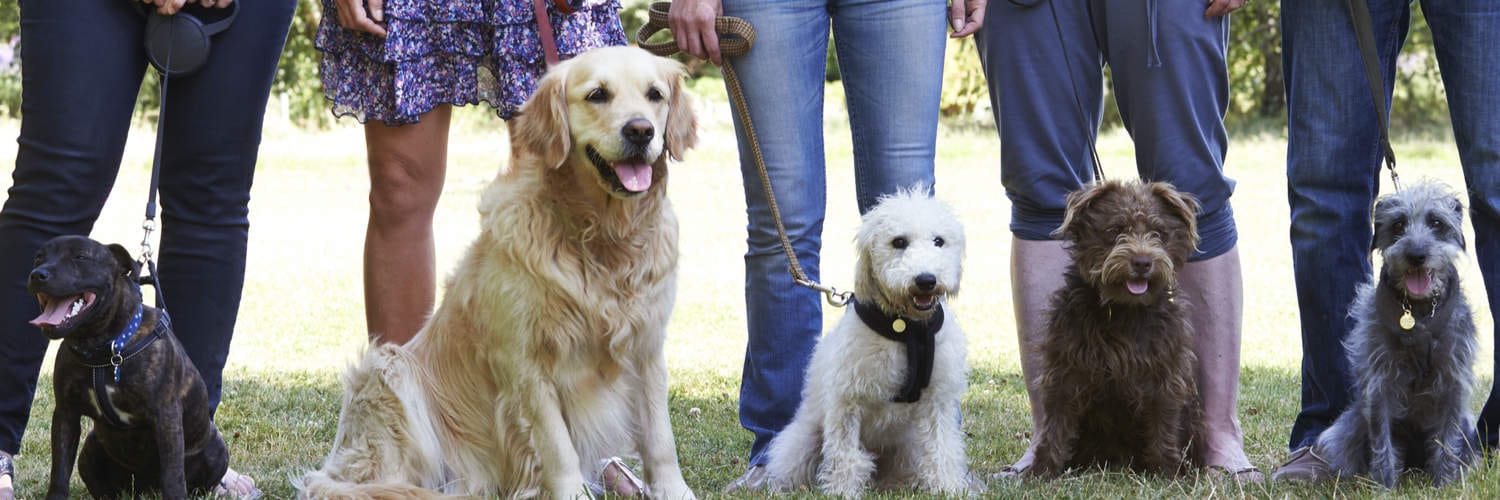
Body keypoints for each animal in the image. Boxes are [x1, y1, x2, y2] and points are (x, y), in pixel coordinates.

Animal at [29, 234, 229, 498]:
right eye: (38, 257)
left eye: (80, 257)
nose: (37, 274)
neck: (106, 350)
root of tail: (146, 488)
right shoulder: (65, 413)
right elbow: (60, 469)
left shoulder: (166, 419)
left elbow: (173, 475)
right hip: (89, 450)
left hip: (217, 449)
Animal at [762, 186, 972, 495]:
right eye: (899, 242)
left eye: (939, 241)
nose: (926, 280)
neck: (906, 330)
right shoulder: (847, 401)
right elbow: (845, 454)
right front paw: (842, 491)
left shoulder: (938, 400)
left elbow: (942, 447)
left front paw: (948, 487)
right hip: (802, 440)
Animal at [1032, 180, 1206, 480]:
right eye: (1115, 230)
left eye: (1159, 233)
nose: (1142, 262)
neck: (1124, 309)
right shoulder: (1066, 368)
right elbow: (1056, 423)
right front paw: (1043, 471)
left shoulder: (1165, 373)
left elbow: (1163, 423)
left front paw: (1167, 472)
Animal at [1314, 180, 1476, 486]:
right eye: (1398, 224)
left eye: (1436, 223)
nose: (1416, 255)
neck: (1419, 312)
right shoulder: (1381, 383)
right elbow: (1382, 439)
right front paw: (1384, 484)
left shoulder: (1453, 380)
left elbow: (1448, 438)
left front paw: (1445, 482)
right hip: (1346, 428)